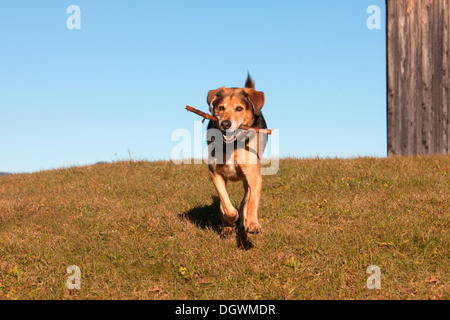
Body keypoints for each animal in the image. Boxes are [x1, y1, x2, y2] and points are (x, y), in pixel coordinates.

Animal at [207, 74, 268, 236]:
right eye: (221, 108)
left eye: (239, 108)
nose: (225, 124)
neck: (232, 145)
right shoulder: (215, 173)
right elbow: (225, 204)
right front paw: (231, 219)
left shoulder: (253, 175)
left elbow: (251, 202)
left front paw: (252, 223)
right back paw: (228, 226)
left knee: (245, 200)